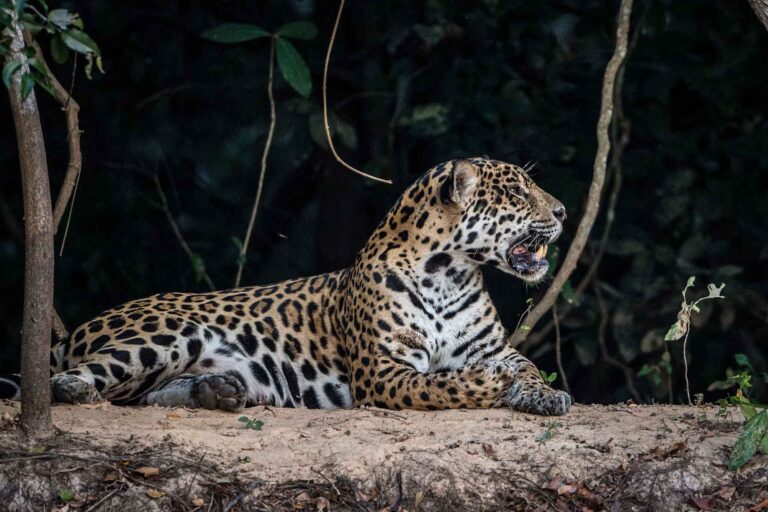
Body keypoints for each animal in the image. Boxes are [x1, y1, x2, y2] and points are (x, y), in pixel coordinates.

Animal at [0, 158, 571, 415]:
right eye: (519, 192)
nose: (563, 210)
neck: (449, 274)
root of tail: (81, 328)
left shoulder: (493, 347)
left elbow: (525, 365)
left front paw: (545, 394)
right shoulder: (382, 372)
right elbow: (438, 386)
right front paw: (489, 387)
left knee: (144, 395)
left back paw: (218, 391)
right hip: (169, 332)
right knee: (78, 379)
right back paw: (78, 387)